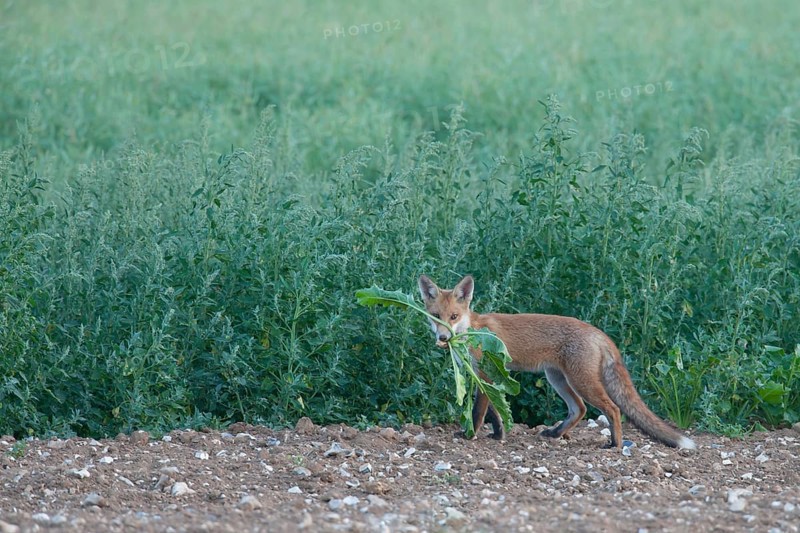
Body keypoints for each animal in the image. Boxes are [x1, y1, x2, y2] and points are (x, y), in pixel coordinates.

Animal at [418, 274, 696, 450]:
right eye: (436, 316)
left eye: (454, 316)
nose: (443, 338)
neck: (471, 331)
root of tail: (598, 332)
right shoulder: (486, 378)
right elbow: (497, 412)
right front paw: (498, 435)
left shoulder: (484, 375)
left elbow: (478, 412)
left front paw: (470, 435)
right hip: (558, 379)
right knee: (579, 409)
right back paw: (557, 433)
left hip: (580, 381)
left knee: (613, 409)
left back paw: (614, 445)